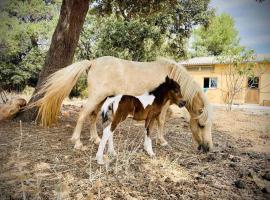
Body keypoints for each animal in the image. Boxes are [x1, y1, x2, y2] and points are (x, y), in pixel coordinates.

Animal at [31, 55, 213, 152]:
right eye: (201, 125)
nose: (208, 147)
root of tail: (93, 62)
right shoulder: (164, 105)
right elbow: (161, 121)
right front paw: (162, 141)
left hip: (101, 100)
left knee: (92, 116)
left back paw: (95, 139)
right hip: (96, 97)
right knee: (83, 115)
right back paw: (77, 142)